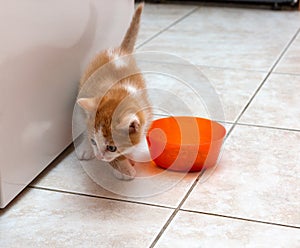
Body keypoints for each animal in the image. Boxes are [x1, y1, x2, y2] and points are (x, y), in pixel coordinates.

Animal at [76, 2, 151, 179]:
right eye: (94, 141)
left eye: (112, 148)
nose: (99, 156)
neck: (120, 91)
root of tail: (120, 51)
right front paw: (123, 169)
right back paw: (85, 149)